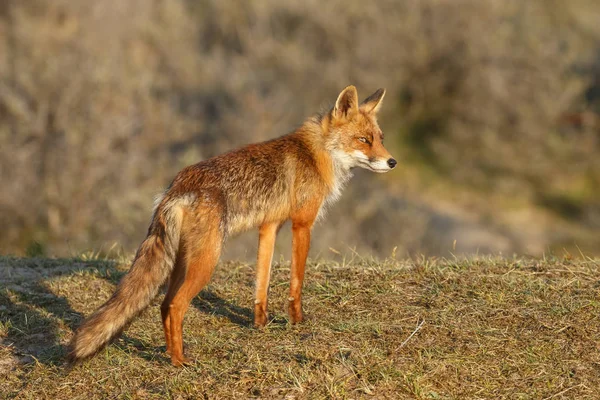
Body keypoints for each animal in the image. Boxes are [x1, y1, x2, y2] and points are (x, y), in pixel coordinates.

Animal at [68, 85, 396, 366]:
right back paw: (179, 361)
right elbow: (297, 281)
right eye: (363, 140)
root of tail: (177, 185)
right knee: (175, 307)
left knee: (164, 305)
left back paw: (172, 353)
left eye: (380, 137)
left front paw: (260, 324)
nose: (392, 162)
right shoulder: (302, 224)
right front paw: (297, 320)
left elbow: (261, 283)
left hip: (183, 262)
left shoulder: (269, 226)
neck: (315, 154)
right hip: (206, 262)